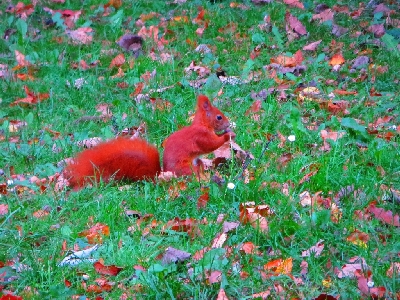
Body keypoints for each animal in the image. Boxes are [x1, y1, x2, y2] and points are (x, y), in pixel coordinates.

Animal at [64, 95, 234, 189]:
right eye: (219, 117)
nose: (228, 123)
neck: (202, 124)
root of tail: (162, 175)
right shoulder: (200, 136)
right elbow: (211, 144)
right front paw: (227, 135)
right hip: (186, 168)